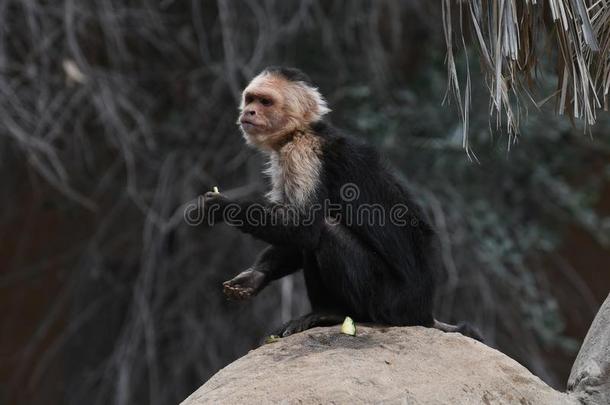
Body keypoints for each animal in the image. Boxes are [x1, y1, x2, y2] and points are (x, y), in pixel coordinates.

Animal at [204, 67, 480, 340]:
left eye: (265, 102)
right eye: (250, 99)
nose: (248, 111)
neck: (300, 131)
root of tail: (424, 313)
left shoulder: (303, 156)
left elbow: (303, 228)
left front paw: (220, 207)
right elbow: (294, 236)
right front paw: (254, 278)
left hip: (390, 302)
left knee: (326, 231)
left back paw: (331, 314)